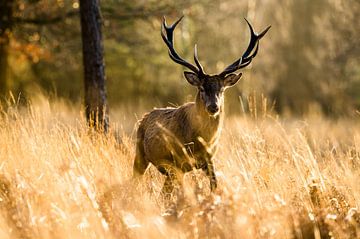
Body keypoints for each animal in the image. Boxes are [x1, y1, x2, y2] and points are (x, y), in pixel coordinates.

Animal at [134, 16, 268, 198]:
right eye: (202, 88)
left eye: (222, 89)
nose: (213, 107)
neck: (201, 140)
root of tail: (145, 116)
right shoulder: (178, 161)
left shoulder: (209, 160)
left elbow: (214, 185)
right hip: (141, 154)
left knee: (164, 192)